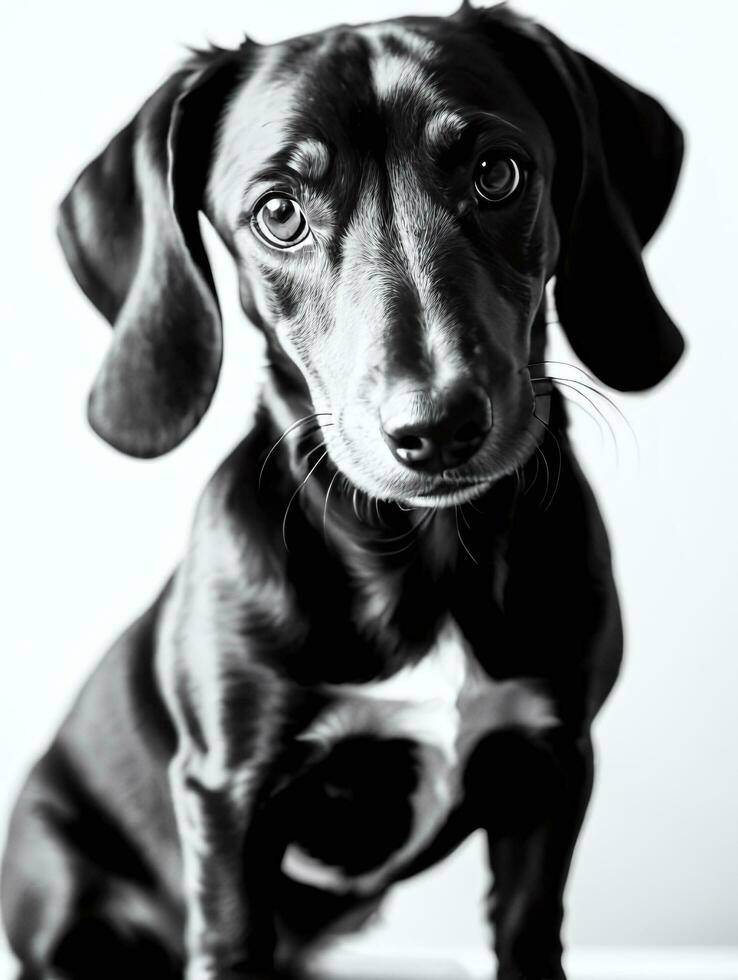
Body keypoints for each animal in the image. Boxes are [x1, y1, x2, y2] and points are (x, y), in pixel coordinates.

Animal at [0, 3, 680, 976]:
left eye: (497, 171)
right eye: (279, 212)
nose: (437, 428)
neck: (425, 564)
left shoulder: (549, 768)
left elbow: (528, 933)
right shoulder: (228, 795)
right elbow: (231, 941)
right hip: (61, 887)